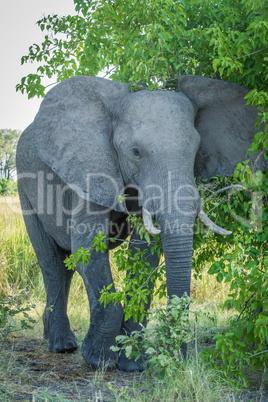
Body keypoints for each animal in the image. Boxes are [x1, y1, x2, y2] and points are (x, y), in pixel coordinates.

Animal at [16, 74, 266, 370]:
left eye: (196, 152)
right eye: (136, 152)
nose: (183, 358)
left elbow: (144, 253)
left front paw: (133, 363)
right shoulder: (91, 169)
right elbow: (88, 249)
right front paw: (100, 360)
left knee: (65, 264)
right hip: (25, 185)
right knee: (52, 262)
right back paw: (62, 346)